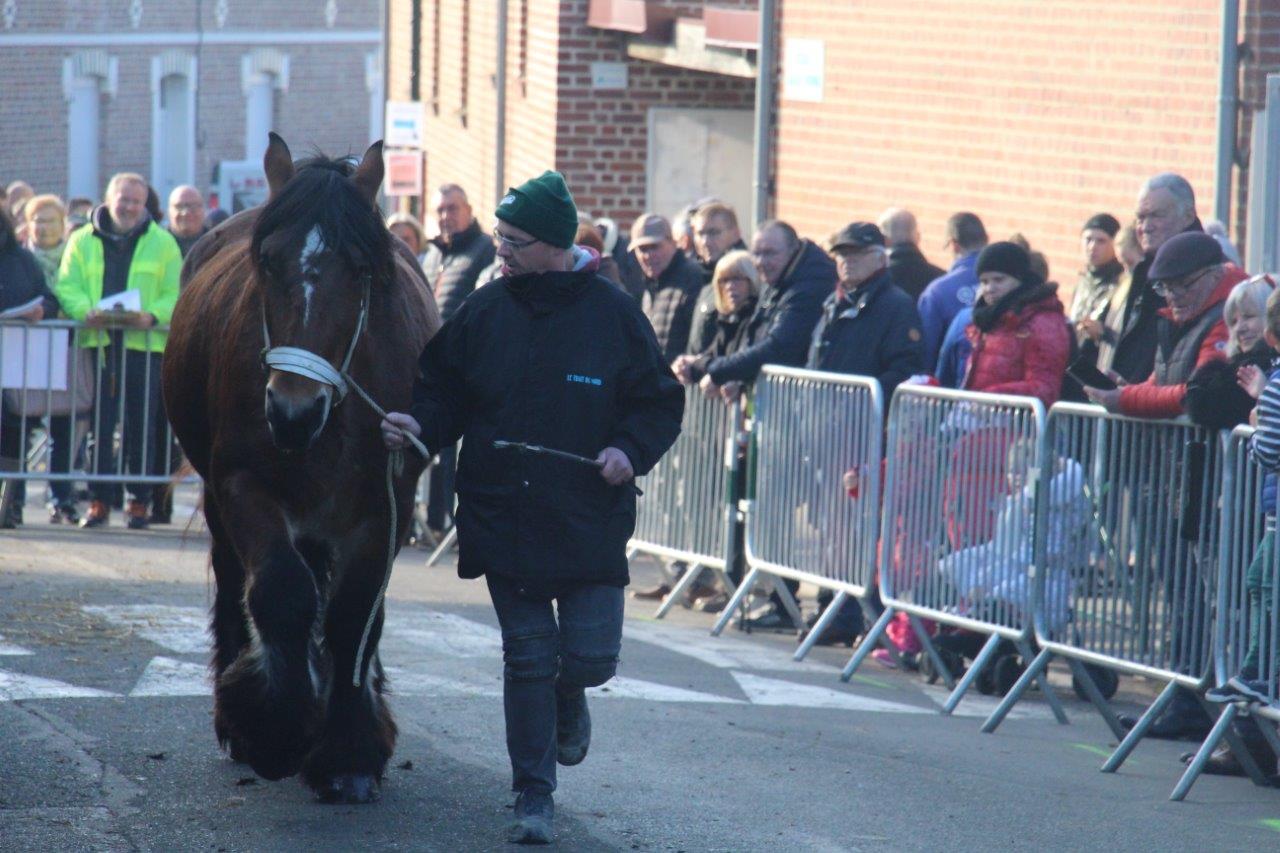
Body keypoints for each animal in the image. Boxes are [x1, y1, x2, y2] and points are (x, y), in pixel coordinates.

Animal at [162, 136, 442, 799]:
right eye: (267, 261)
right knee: (238, 580)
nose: (292, 411)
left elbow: (354, 614)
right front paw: (273, 730)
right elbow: (281, 591)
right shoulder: (243, 485)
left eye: (361, 270)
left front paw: (348, 753)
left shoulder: (383, 511)